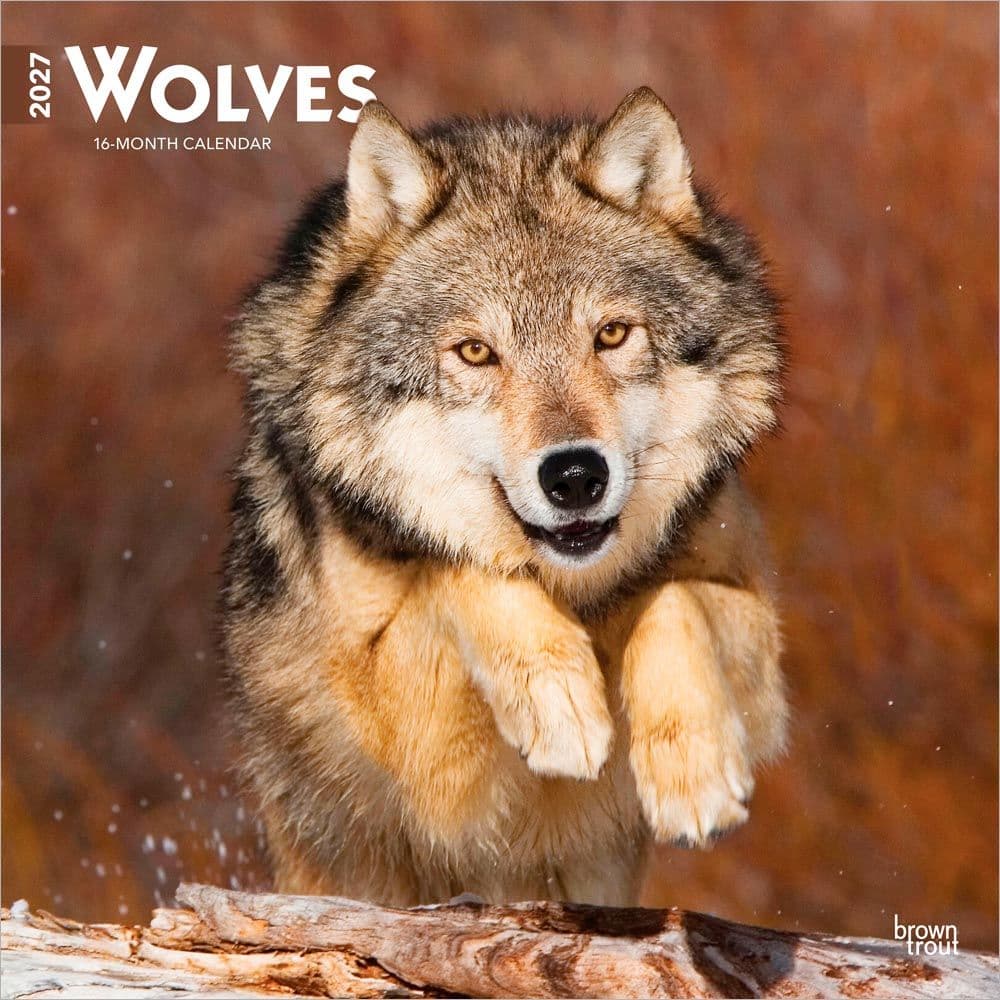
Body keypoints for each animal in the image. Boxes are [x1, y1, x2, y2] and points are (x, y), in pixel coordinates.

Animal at [222, 87, 787, 906]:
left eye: (611, 334)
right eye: (475, 352)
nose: (576, 476)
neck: (573, 591)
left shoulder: (758, 643)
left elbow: (669, 598)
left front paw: (695, 776)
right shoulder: (412, 747)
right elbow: (454, 568)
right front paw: (558, 696)